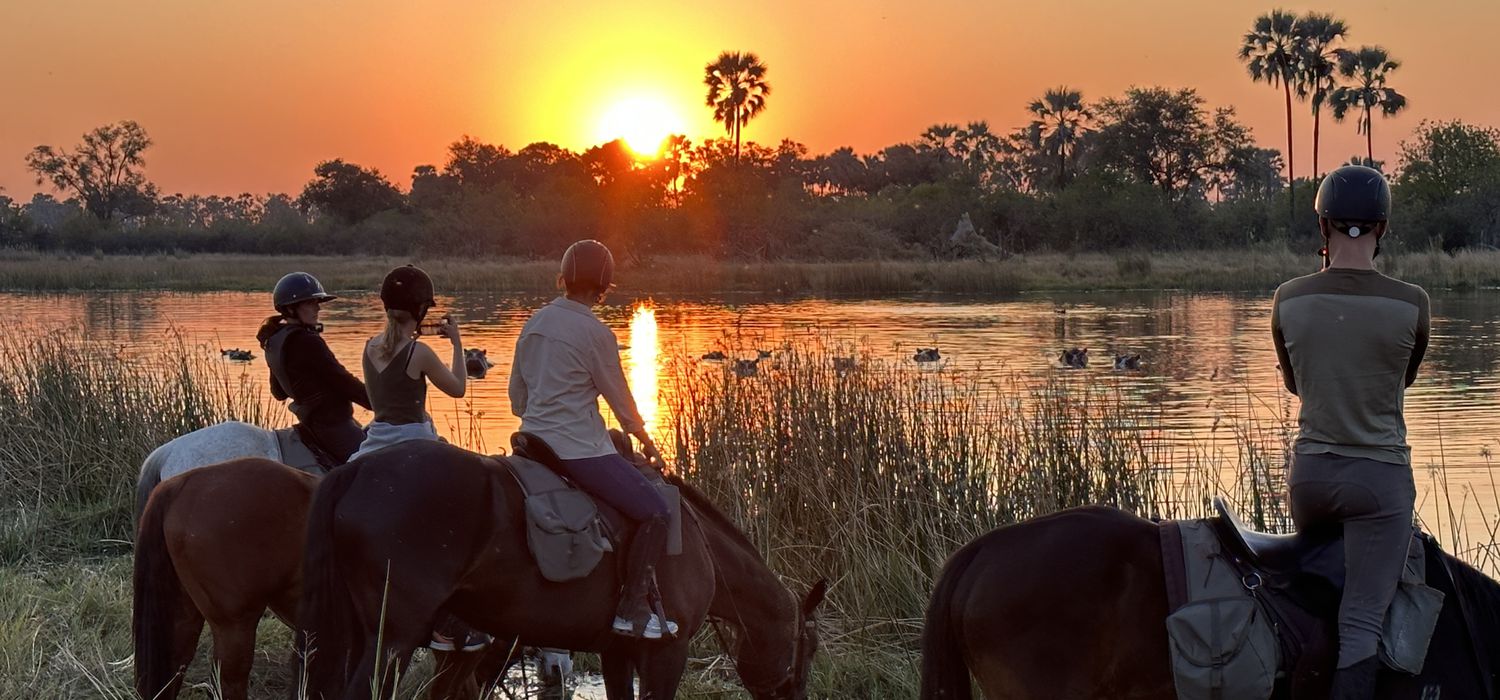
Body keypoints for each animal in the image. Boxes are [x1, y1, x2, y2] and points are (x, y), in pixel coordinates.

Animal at [295, 443, 834, 700]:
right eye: (808, 649)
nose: (796, 696)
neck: (700, 543)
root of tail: (357, 471)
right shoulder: (667, 654)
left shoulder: (617, 653)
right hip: (394, 639)